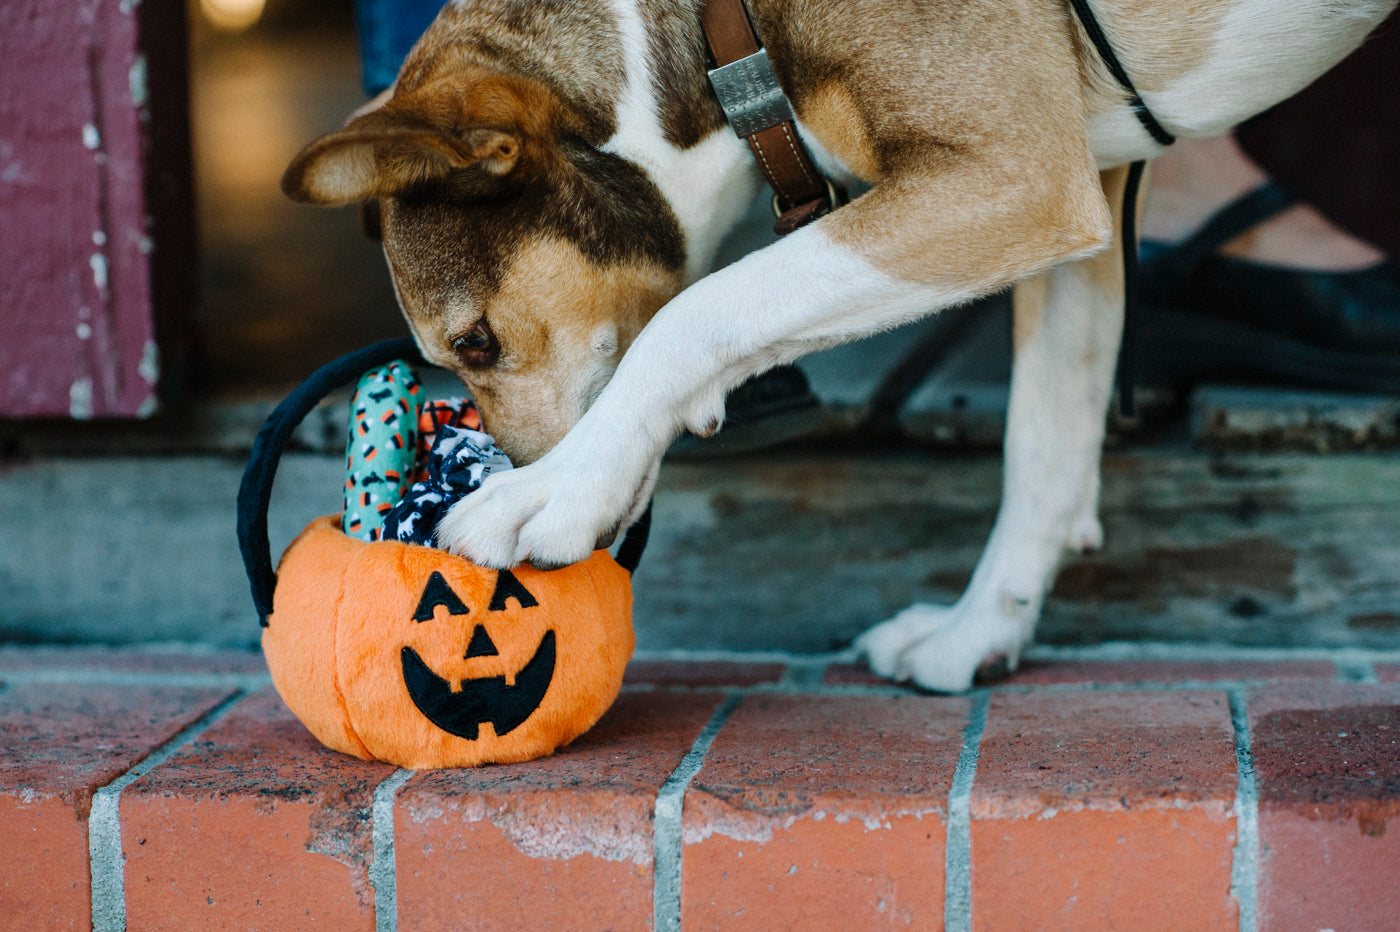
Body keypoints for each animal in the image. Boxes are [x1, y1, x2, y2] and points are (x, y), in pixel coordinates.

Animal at [278, 0, 1394, 685]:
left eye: (472, 341)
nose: (494, 464)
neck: (719, 30)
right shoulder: (1079, 191)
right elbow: (1043, 442)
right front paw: (978, 631)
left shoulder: (1016, 177)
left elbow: (705, 309)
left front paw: (551, 491)